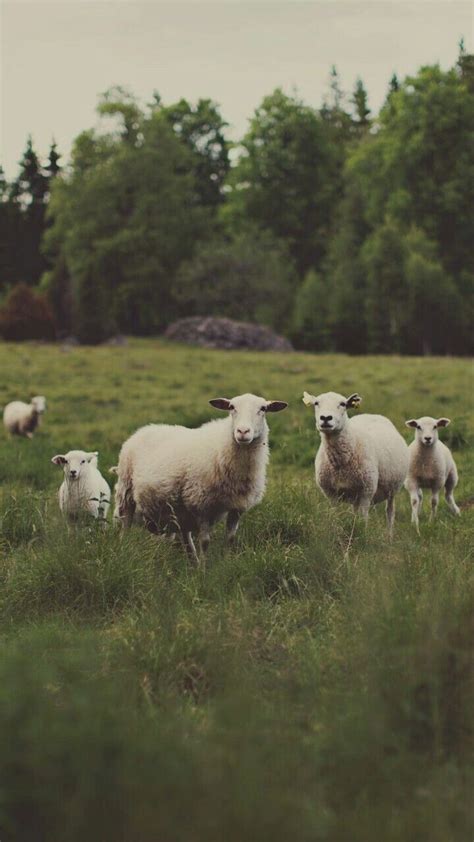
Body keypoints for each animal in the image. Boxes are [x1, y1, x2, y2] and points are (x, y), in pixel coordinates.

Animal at [113, 394, 286, 564]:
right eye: (231, 407)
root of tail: (144, 429)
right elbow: (205, 541)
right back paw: (123, 550)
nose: (242, 431)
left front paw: (227, 563)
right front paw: (204, 569)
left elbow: (230, 539)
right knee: (125, 524)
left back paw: (193, 562)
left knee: (184, 535)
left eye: (263, 409)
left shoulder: (237, 507)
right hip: (126, 491)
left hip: (179, 507)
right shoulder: (202, 504)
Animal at [302, 392, 410, 536]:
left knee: (390, 512)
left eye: (343, 404)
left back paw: (389, 536)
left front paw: (362, 535)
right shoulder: (331, 493)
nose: (325, 418)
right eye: (316, 403)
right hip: (355, 495)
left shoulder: (367, 491)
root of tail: (372, 415)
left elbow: (363, 519)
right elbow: (335, 516)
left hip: (392, 489)